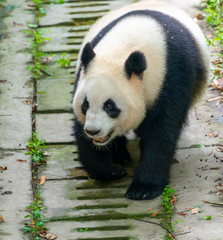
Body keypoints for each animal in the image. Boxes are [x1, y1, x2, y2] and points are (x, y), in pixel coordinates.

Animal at [72, 0, 209, 200]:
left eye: (110, 106)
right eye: (85, 104)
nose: (93, 131)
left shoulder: (172, 76)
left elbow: (162, 131)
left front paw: (144, 188)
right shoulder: (83, 76)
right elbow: (81, 133)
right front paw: (111, 171)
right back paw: (120, 155)